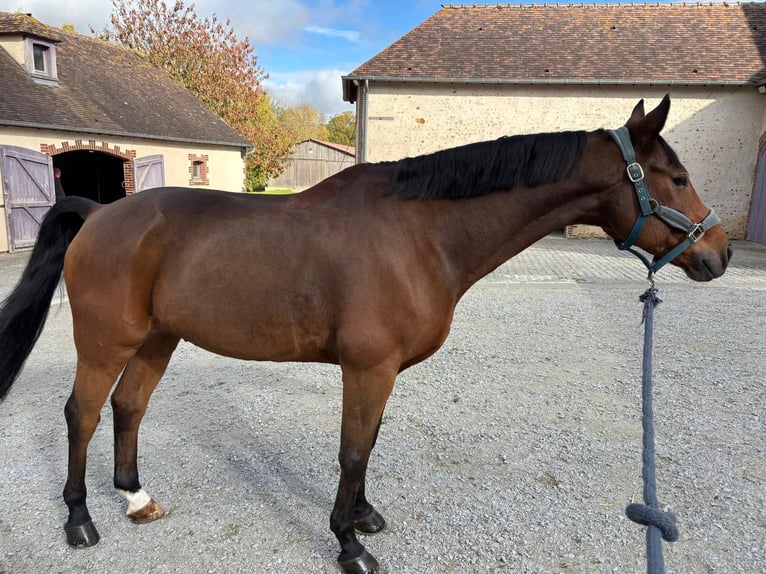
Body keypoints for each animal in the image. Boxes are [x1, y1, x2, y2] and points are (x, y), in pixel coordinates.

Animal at [0, 96, 730, 574]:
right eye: (677, 177)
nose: (718, 253)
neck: (420, 234)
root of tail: (100, 213)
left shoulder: (384, 373)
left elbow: (370, 446)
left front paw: (362, 516)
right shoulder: (367, 368)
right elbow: (352, 453)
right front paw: (349, 544)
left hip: (159, 338)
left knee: (129, 406)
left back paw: (136, 497)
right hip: (107, 342)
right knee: (83, 413)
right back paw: (80, 520)